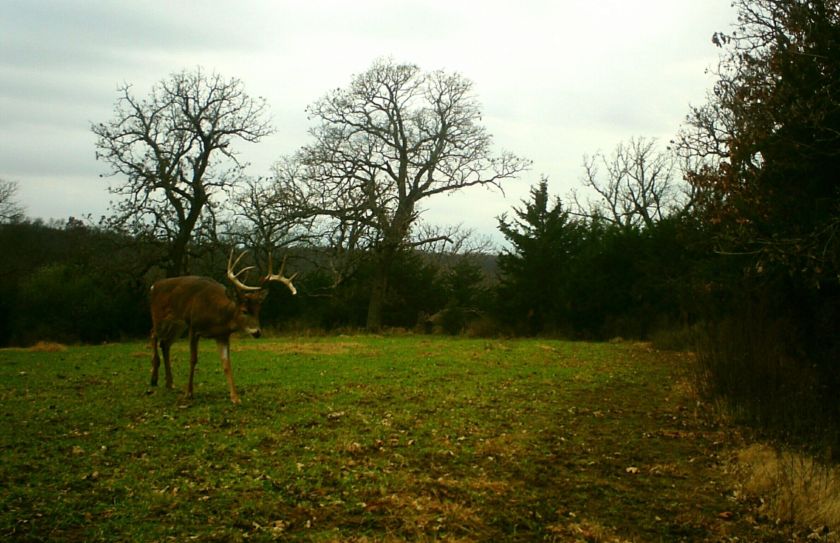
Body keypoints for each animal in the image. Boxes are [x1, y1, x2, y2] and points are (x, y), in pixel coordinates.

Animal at [149, 251, 296, 404]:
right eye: (244, 310)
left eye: (258, 310)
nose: (257, 332)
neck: (217, 317)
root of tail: (154, 286)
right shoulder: (194, 327)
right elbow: (193, 359)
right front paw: (188, 393)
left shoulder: (222, 335)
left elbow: (226, 363)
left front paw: (235, 397)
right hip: (159, 315)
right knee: (153, 333)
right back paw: (154, 377)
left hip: (178, 325)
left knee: (165, 343)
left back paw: (169, 383)